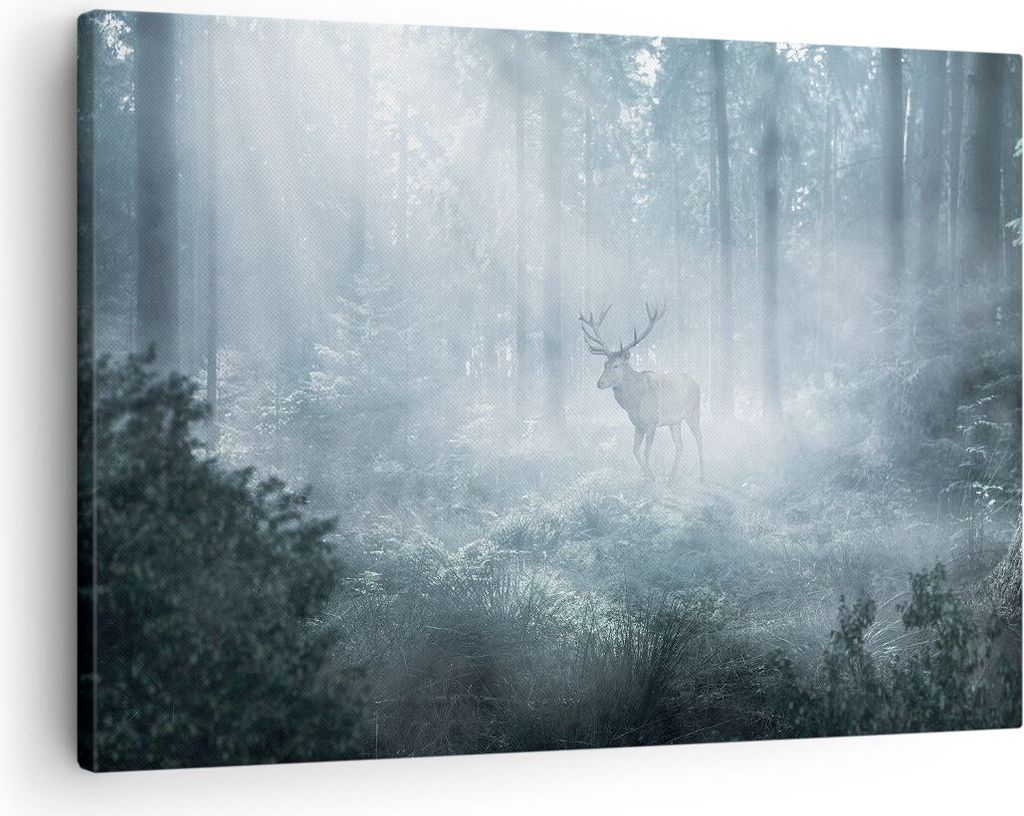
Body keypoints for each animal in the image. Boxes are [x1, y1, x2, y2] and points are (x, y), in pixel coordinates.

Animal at [579, 303, 704, 481]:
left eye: (616, 365)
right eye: (605, 364)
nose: (600, 382)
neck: (634, 403)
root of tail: (697, 383)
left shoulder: (651, 422)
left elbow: (645, 453)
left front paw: (650, 480)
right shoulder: (638, 425)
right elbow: (635, 452)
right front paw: (648, 477)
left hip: (693, 412)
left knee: (699, 439)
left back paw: (702, 476)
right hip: (675, 421)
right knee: (680, 445)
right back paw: (671, 478)